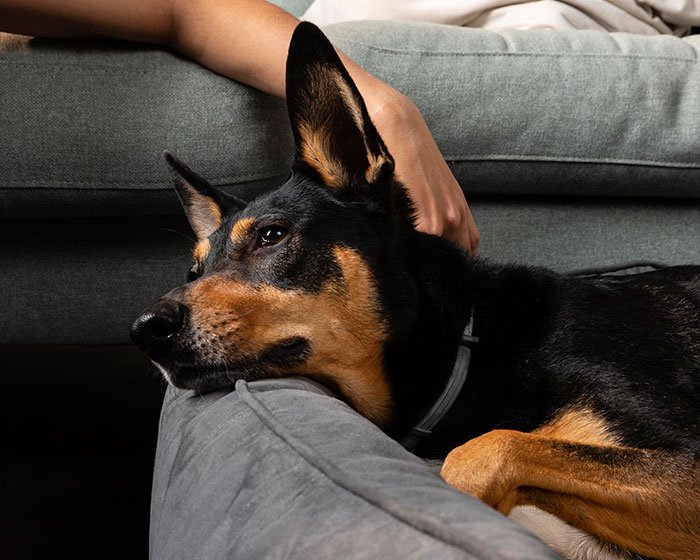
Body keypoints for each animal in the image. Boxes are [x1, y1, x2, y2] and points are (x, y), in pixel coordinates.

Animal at [133, 21, 700, 560]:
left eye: (272, 236)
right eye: (193, 271)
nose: (146, 330)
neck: (468, 347)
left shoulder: (684, 461)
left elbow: (483, 451)